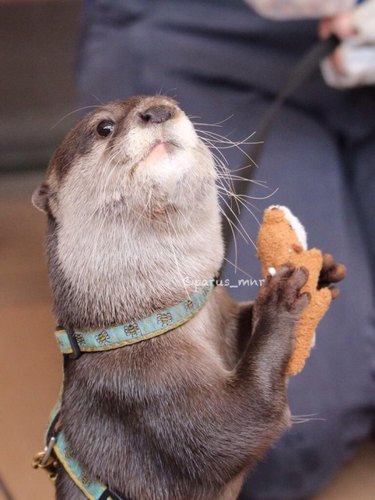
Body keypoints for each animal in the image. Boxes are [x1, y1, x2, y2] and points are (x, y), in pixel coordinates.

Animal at [33, 95, 346, 498]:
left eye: (171, 101)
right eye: (104, 127)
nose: (158, 110)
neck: (141, 324)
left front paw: (321, 272)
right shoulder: (143, 394)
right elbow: (244, 421)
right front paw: (280, 300)